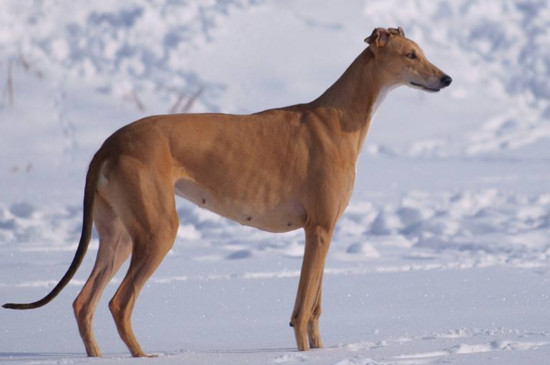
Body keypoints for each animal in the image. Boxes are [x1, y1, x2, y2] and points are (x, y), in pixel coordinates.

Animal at [3, 27, 452, 356]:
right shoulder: (318, 230)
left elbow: (316, 309)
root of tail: (108, 145)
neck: (338, 116)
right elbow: (302, 309)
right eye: (410, 54)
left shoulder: (325, 231)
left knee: (83, 304)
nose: (446, 79)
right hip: (158, 231)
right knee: (118, 303)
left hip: (118, 236)